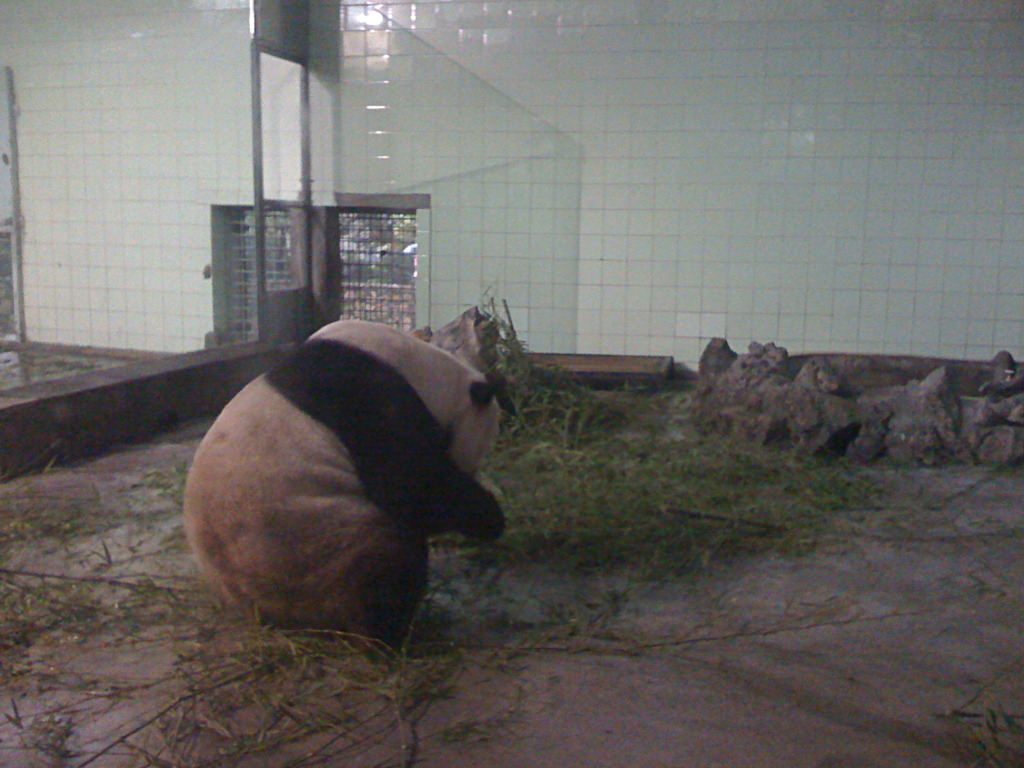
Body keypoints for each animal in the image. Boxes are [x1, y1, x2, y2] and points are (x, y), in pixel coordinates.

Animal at [186, 319, 505, 651]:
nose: (475, 473)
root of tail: (279, 615)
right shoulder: (368, 399)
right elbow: (409, 486)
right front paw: (489, 516)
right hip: (317, 545)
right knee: (383, 566)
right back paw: (387, 635)